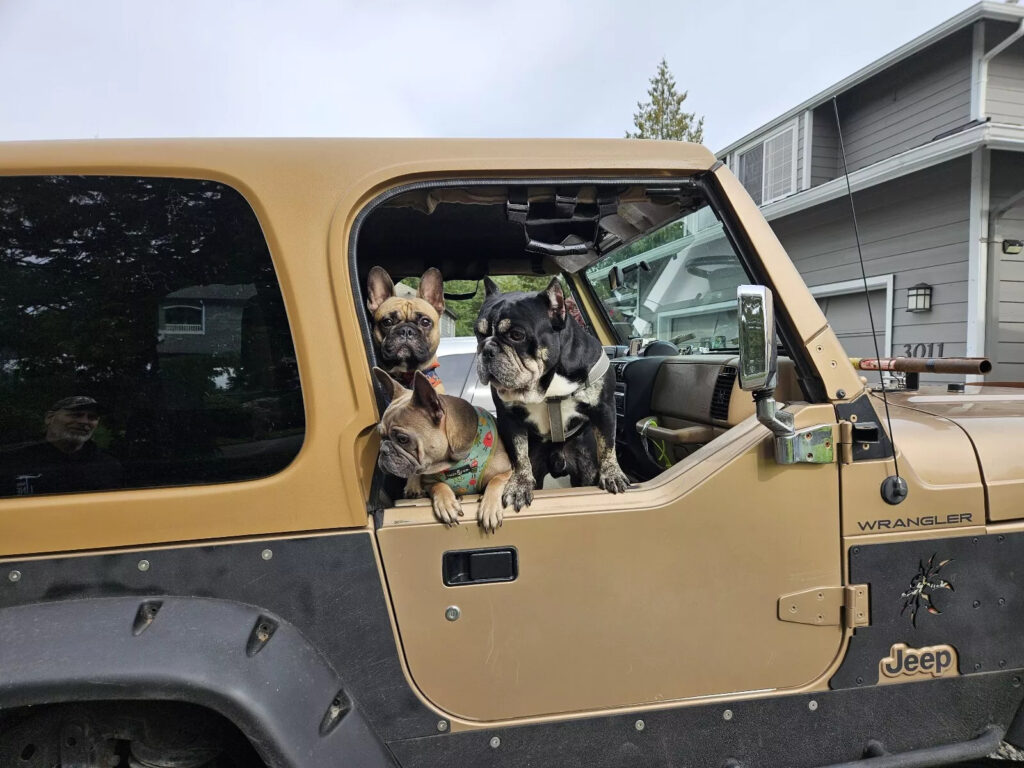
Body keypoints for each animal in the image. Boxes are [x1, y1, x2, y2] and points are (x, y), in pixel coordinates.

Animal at [475, 276, 626, 512]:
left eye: (516, 335)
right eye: (478, 333)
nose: (486, 349)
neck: (546, 383)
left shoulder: (604, 408)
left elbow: (608, 444)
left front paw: (612, 473)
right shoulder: (510, 418)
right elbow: (519, 454)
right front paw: (519, 484)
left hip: (584, 465)